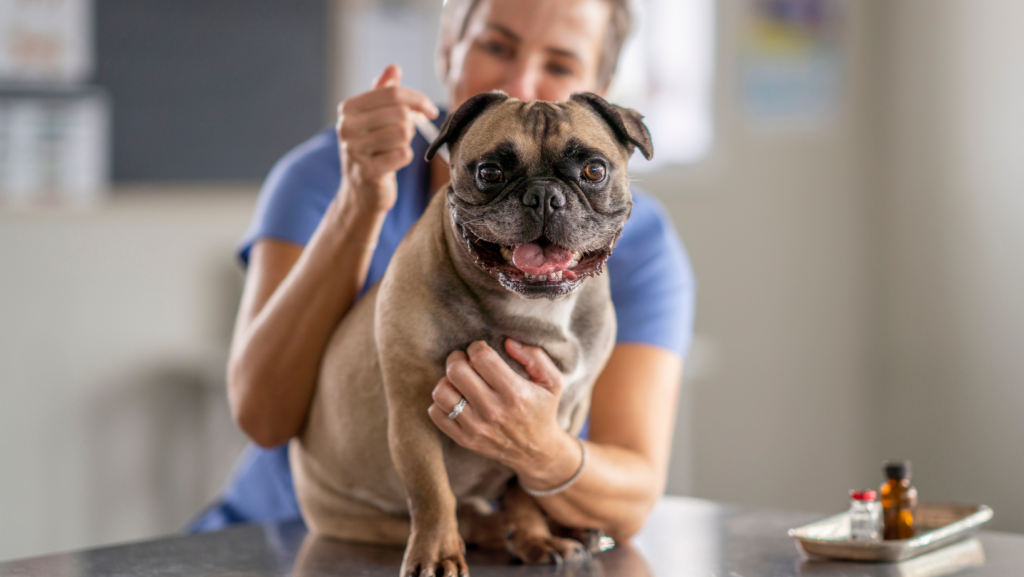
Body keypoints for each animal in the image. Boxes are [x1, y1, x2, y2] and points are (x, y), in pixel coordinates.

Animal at [292, 91, 651, 577]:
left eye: (594, 171)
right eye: (490, 172)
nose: (543, 195)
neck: (533, 307)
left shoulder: (550, 428)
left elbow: (526, 488)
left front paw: (537, 539)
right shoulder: (413, 416)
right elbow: (432, 493)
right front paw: (436, 554)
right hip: (361, 516)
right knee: (464, 517)